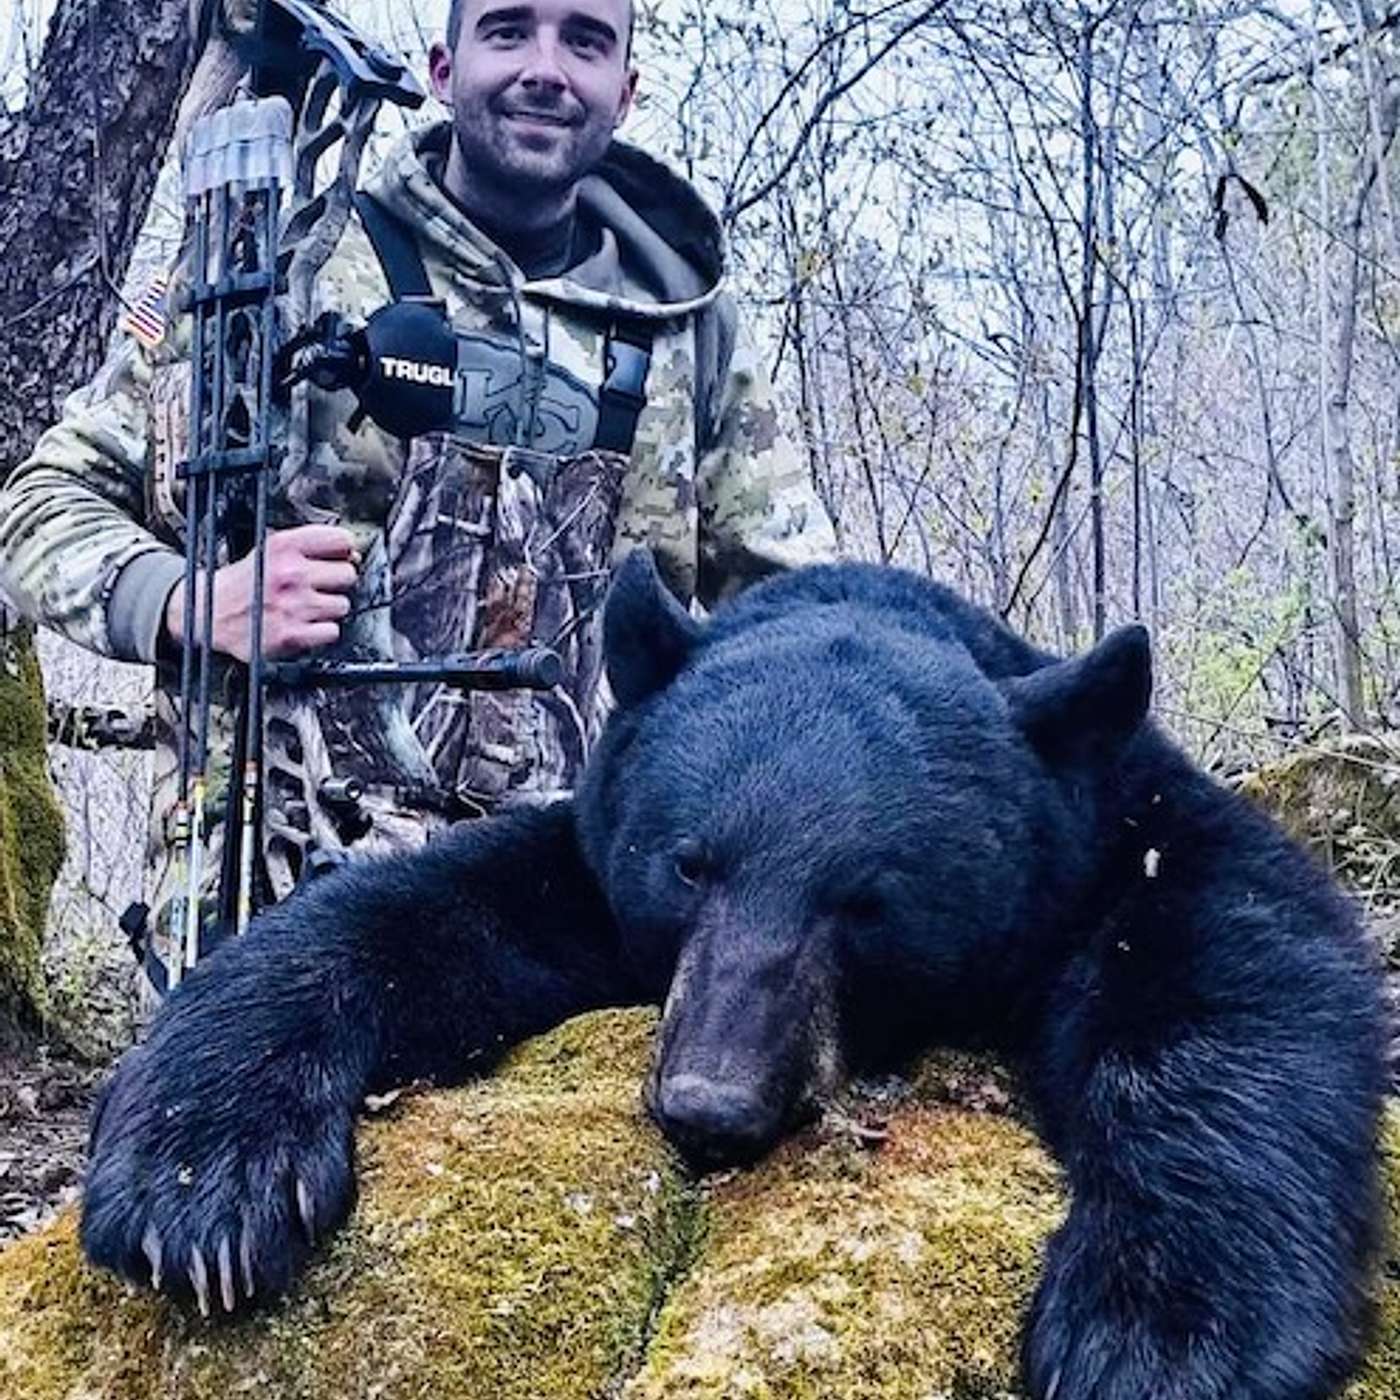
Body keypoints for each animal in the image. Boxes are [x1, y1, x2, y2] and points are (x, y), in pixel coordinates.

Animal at [81, 551, 1388, 1399]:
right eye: (690, 862)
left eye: (863, 903)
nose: (709, 1101)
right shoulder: (596, 864)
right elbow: (421, 905)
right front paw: (198, 1183)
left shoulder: (1126, 827)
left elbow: (1228, 978)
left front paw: (1159, 1326)